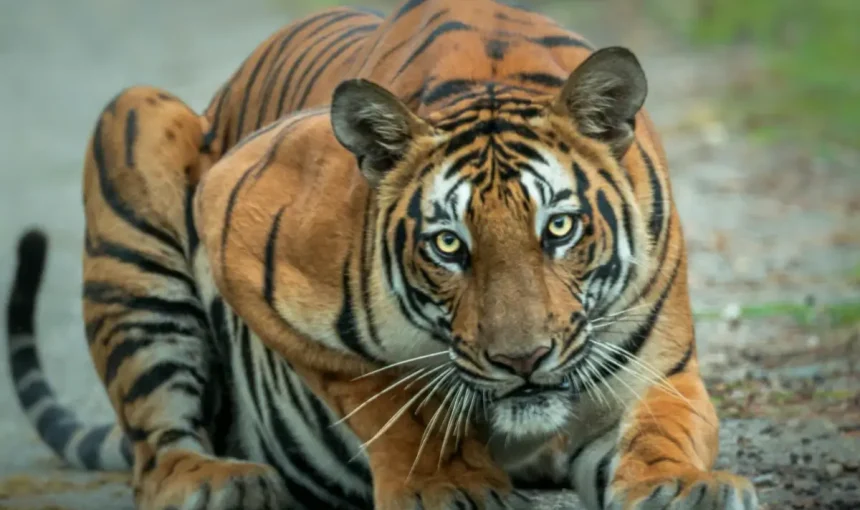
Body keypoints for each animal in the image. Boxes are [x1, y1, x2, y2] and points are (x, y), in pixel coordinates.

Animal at [5, 1, 759, 509]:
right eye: (449, 245)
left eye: (560, 229)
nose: (522, 362)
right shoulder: (236, 221)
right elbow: (390, 394)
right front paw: (446, 484)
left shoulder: (659, 367)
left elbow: (665, 424)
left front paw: (683, 485)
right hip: (136, 124)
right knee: (156, 451)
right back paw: (219, 481)